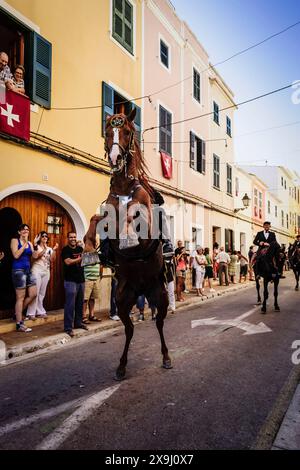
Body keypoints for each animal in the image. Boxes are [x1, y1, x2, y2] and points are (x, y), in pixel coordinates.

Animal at [83, 108, 172, 380]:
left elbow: (133, 213)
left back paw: (166, 357)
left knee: (159, 323)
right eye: (108, 129)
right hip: (123, 300)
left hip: (160, 297)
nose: (115, 157)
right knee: (130, 329)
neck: (124, 186)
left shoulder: (146, 224)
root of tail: (142, 290)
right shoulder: (106, 214)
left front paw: (128, 234)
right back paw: (121, 366)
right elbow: (96, 218)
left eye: (127, 131)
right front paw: (88, 249)